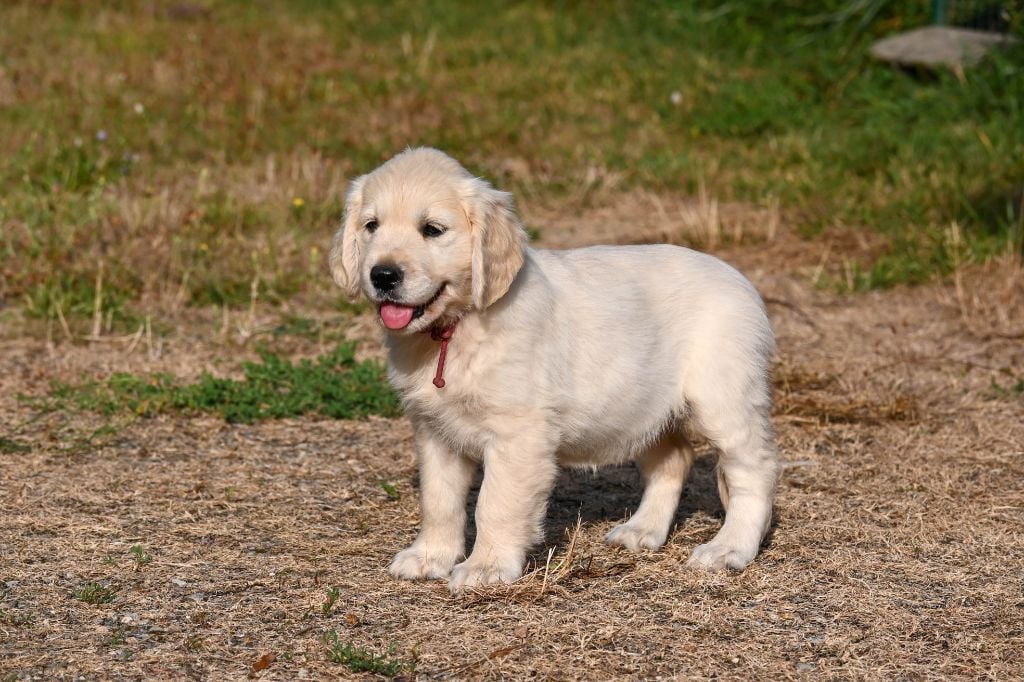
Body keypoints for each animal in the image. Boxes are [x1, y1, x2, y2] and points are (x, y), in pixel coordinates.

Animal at [329, 148, 779, 592]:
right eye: (371, 226)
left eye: (433, 230)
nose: (382, 275)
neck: (455, 328)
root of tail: (740, 280)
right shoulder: (435, 430)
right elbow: (439, 501)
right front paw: (429, 557)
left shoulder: (518, 433)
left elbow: (495, 503)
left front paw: (485, 567)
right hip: (644, 405)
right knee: (674, 459)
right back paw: (642, 530)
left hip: (723, 399)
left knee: (754, 470)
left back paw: (729, 549)